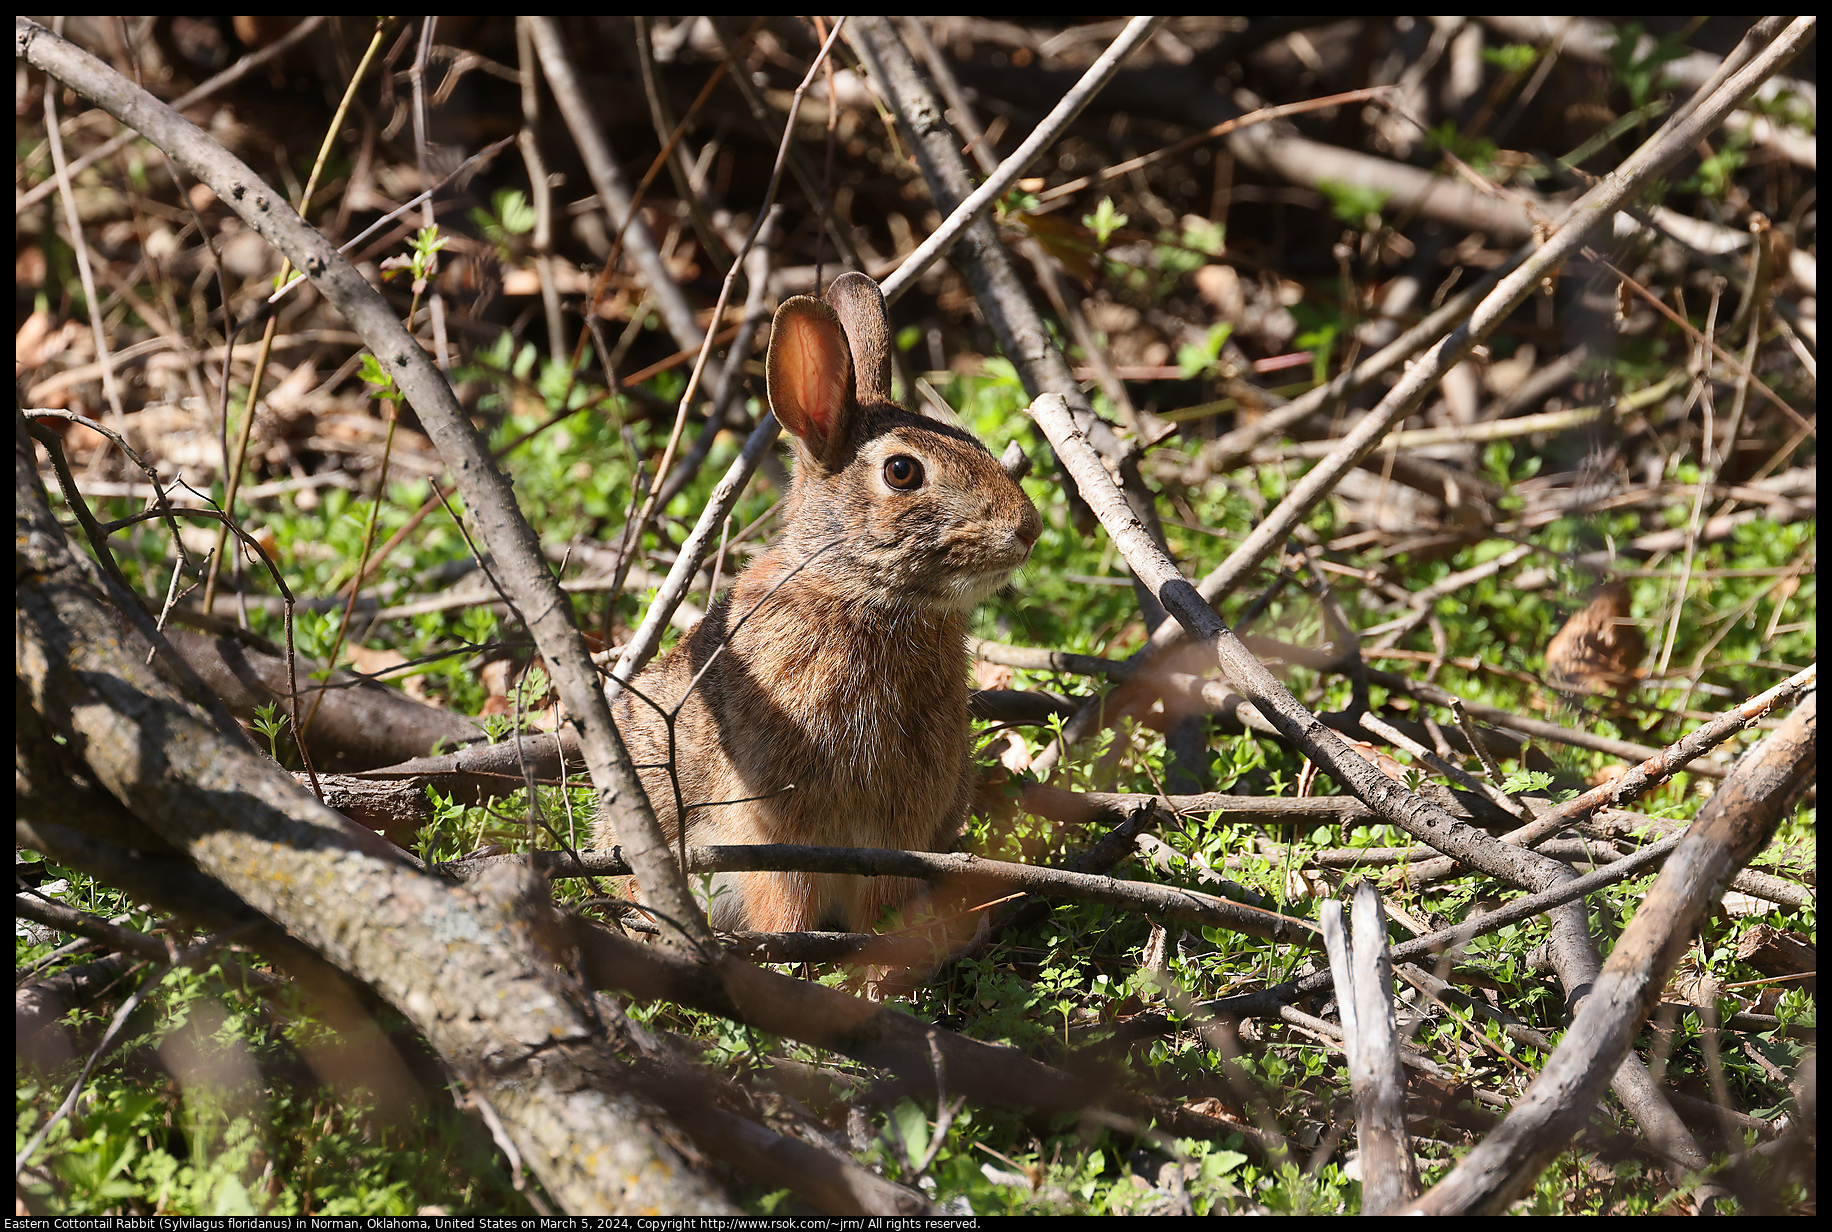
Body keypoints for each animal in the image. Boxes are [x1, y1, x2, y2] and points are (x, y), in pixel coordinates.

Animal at [608, 267, 1040, 924]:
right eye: (902, 473)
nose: (1028, 528)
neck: (858, 594)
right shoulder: (772, 831)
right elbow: (785, 901)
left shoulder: (898, 837)